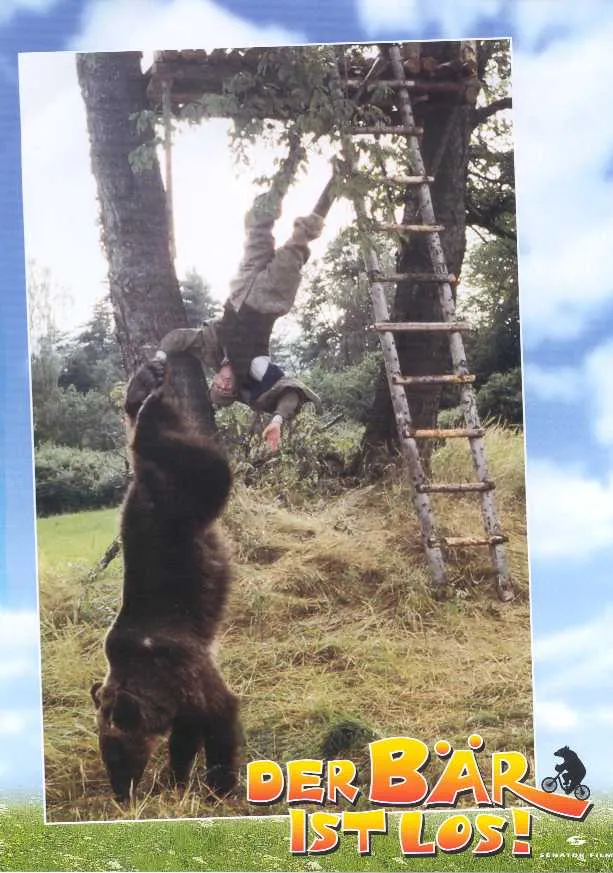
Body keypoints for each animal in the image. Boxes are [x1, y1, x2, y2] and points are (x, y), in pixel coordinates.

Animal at [91, 352, 239, 802]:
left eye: (119, 754)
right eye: (106, 754)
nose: (121, 794)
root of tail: (143, 482)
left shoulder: (179, 665)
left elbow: (219, 712)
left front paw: (219, 785)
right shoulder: (175, 693)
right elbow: (185, 735)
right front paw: (178, 776)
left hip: (190, 492)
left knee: (191, 456)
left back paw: (146, 401)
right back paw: (142, 387)